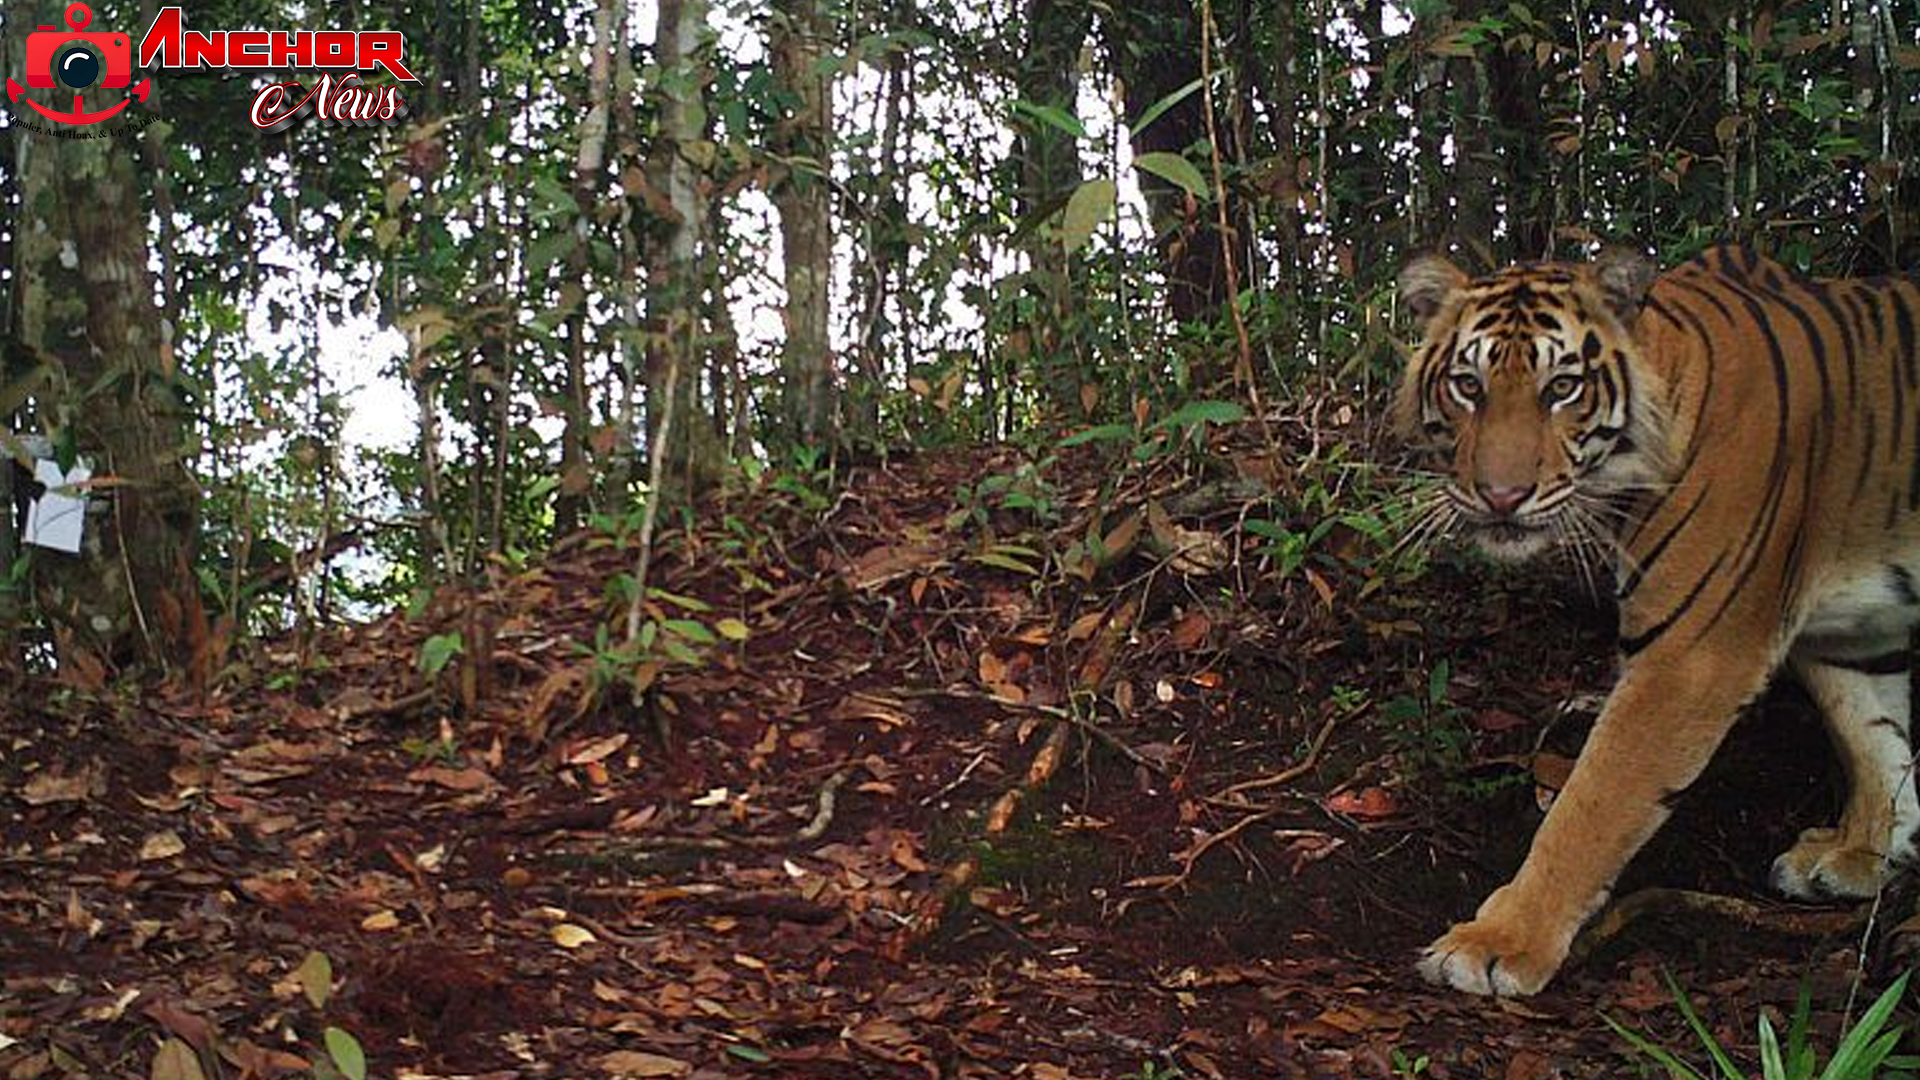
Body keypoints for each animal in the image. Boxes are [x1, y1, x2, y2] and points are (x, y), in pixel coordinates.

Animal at [1390, 242, 1920, 991]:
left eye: (1562, 388)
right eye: (1468, 385)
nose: (1500, 496)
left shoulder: (1688, 659)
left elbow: (1590, 804)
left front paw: (1498, 942)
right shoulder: (1850, 634)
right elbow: (1872, 735)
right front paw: (1864, 855)